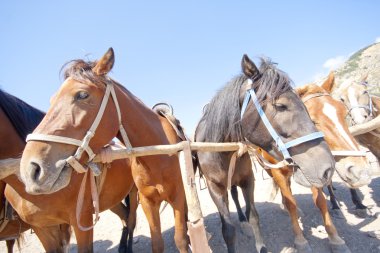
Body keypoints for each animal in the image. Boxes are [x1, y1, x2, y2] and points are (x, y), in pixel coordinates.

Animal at [18, 48, 190, 253]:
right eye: (52, 100)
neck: (157, 154)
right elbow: (157, 243)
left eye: (82, 95)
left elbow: (180, 239)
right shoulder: (148, 202)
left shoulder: (177, 195)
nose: (31, 169)